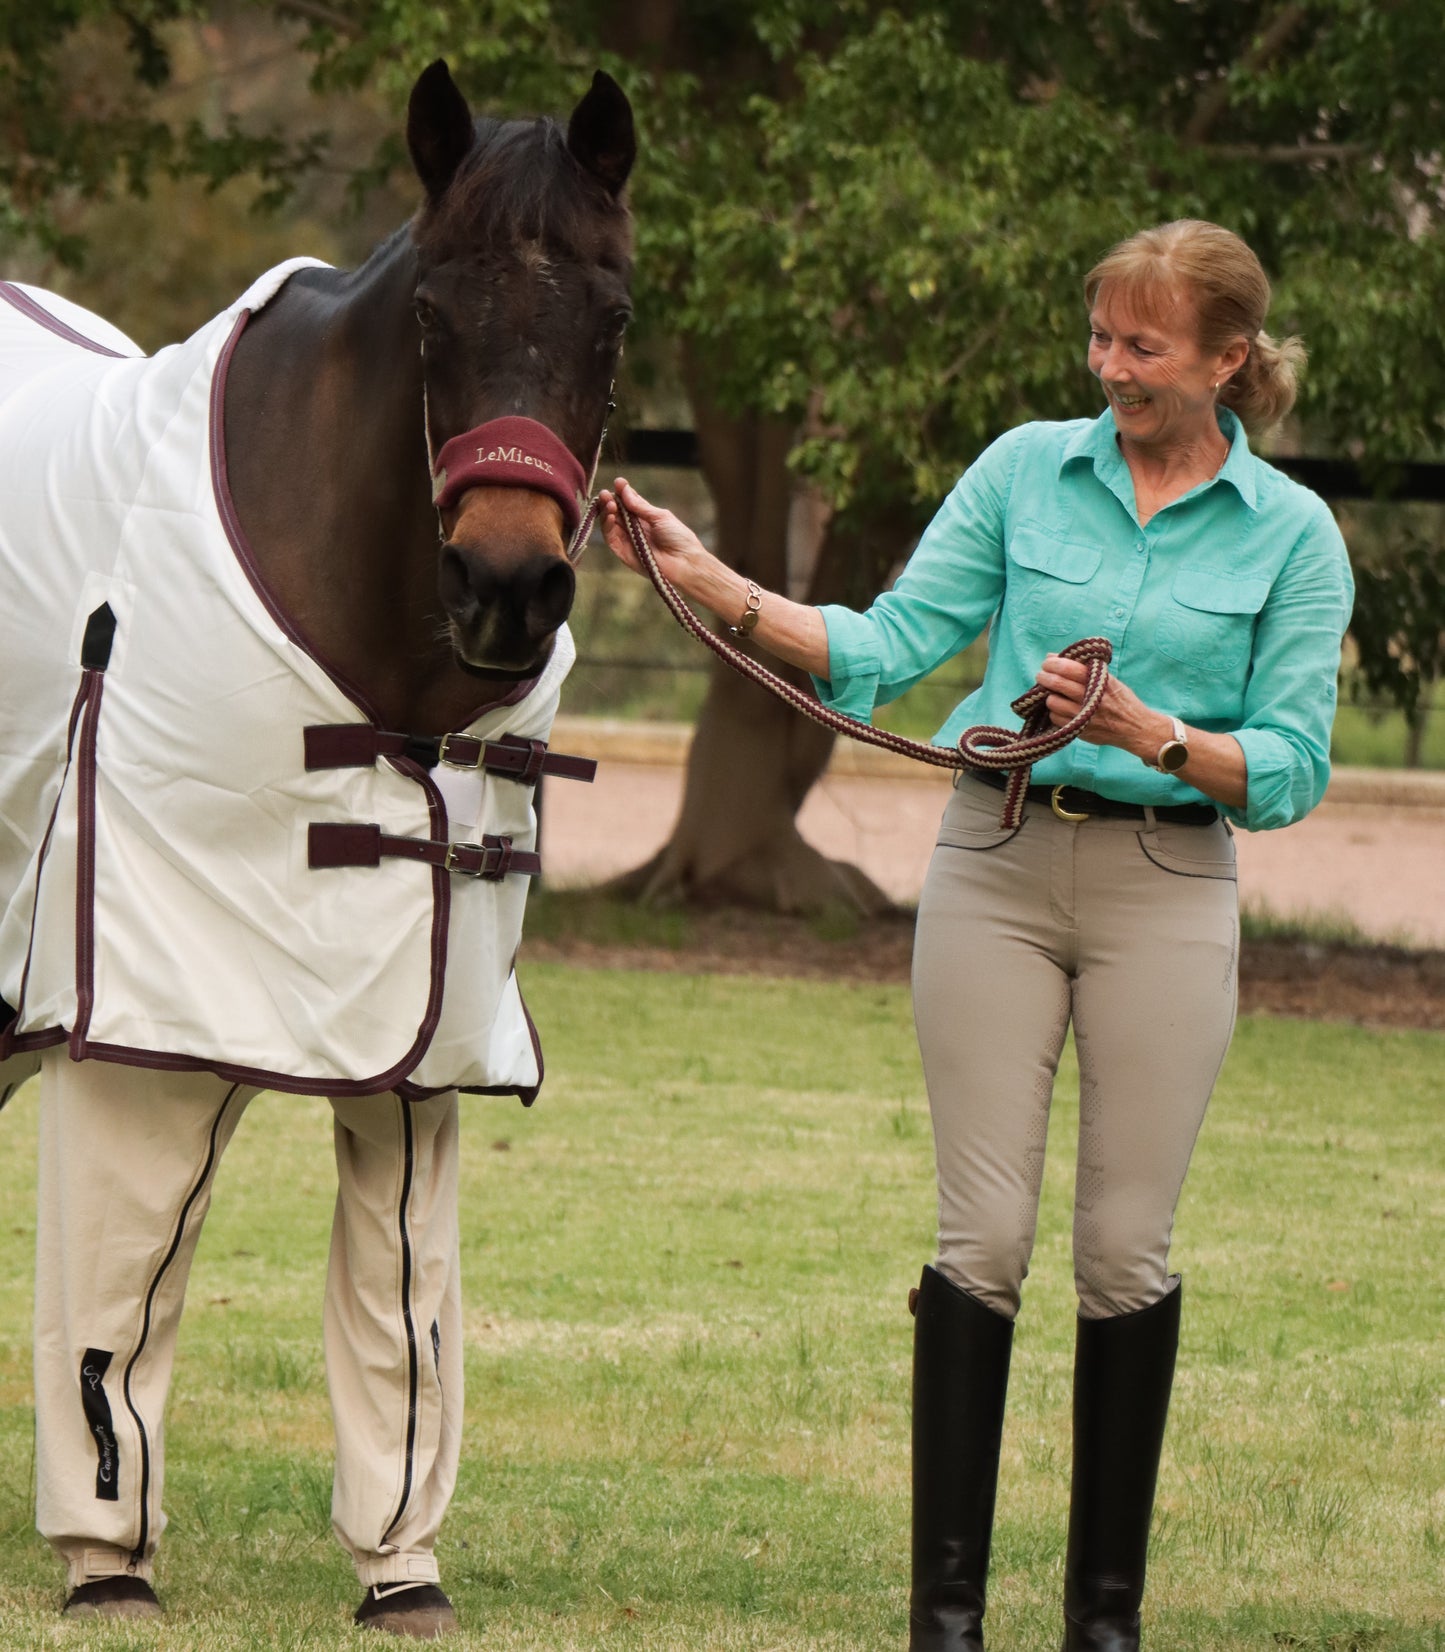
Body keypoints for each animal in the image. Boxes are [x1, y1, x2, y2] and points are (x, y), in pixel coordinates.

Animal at [0, 60, 634, 1637]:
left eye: (612, 316)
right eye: (432, 316)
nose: (506, 587)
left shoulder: (416, 1039)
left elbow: (403, 1318)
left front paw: (401, 1571)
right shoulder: (140, 1025)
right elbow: (114, 1298)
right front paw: (106, 1562)